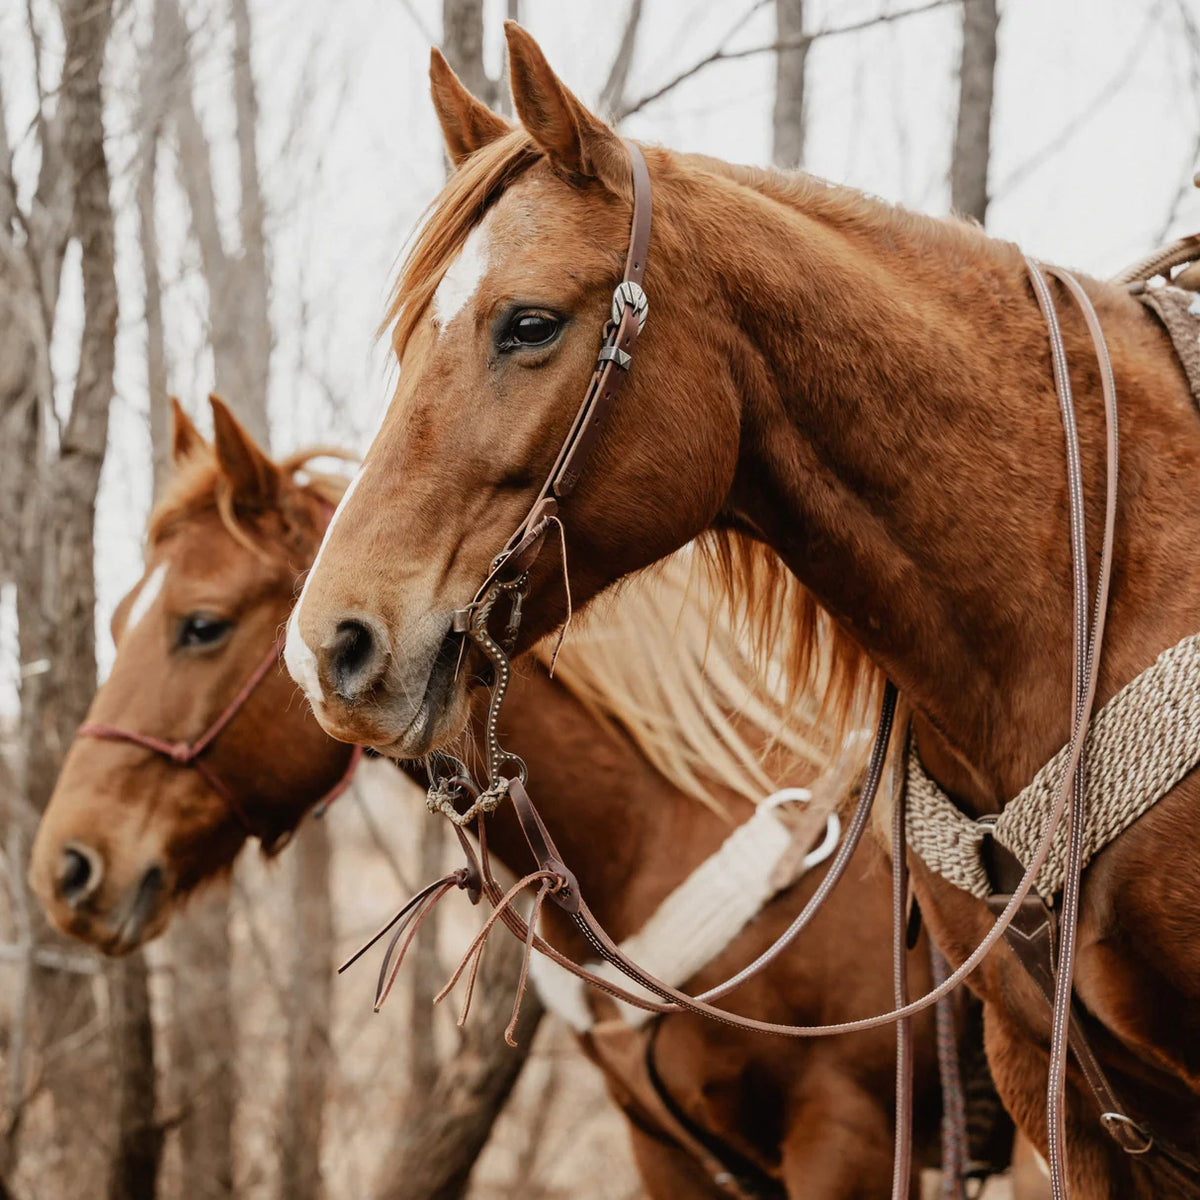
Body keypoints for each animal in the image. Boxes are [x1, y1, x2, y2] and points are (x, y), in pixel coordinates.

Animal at [29, 398, 1003, 1199]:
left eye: (202, 626)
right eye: (117, 620)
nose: (66, 868)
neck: (674, 829)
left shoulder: (847, 1141)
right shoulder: (668, 1154)